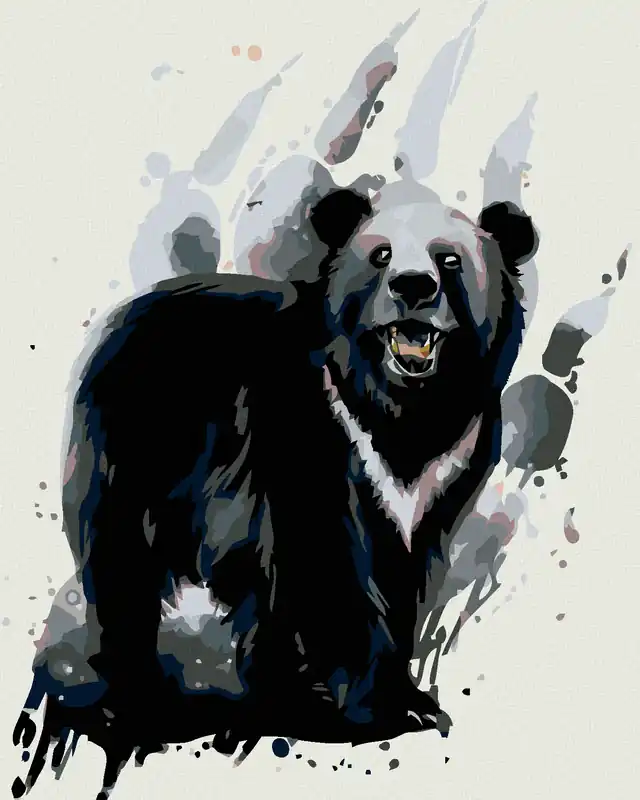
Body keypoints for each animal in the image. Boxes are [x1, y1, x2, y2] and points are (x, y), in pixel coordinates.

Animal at [16, 178, 538, 791]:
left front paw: (410, 700)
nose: (414, 286)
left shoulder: (446, 472)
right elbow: (327, 561)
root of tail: (120, 318)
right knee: (125, 565)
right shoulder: (310, 431)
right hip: (139, 448)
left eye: (450, 260)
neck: (400, 413)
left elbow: (400, 566)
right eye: (381, 256)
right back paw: (142, 697)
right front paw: (379, 705)